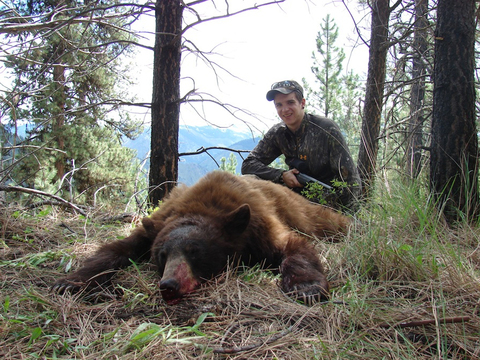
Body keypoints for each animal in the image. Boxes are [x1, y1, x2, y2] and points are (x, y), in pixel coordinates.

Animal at [52, 171, 350, 304]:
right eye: (162, 256)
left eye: (194, 251)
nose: (169, 285)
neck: (205, 206)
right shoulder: (157, 223)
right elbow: (116, 248)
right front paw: (71, 281)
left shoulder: (260, 225)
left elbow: (293, 246)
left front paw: (306, 287)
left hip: (303, 211)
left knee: (326, 221)